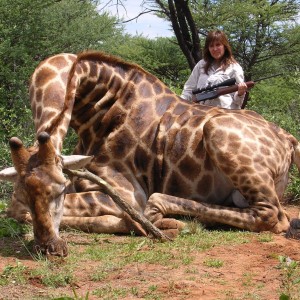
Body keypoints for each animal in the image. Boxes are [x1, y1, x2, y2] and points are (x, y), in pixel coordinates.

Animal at [0, 51, 300, 255]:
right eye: (25, 189)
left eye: (60, 190)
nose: (49, 247)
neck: (94, 116)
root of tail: (289, 140)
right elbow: (15, 209)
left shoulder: (127, 192)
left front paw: (143, 223)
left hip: (218, 132)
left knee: (271, 216)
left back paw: (163, 217)